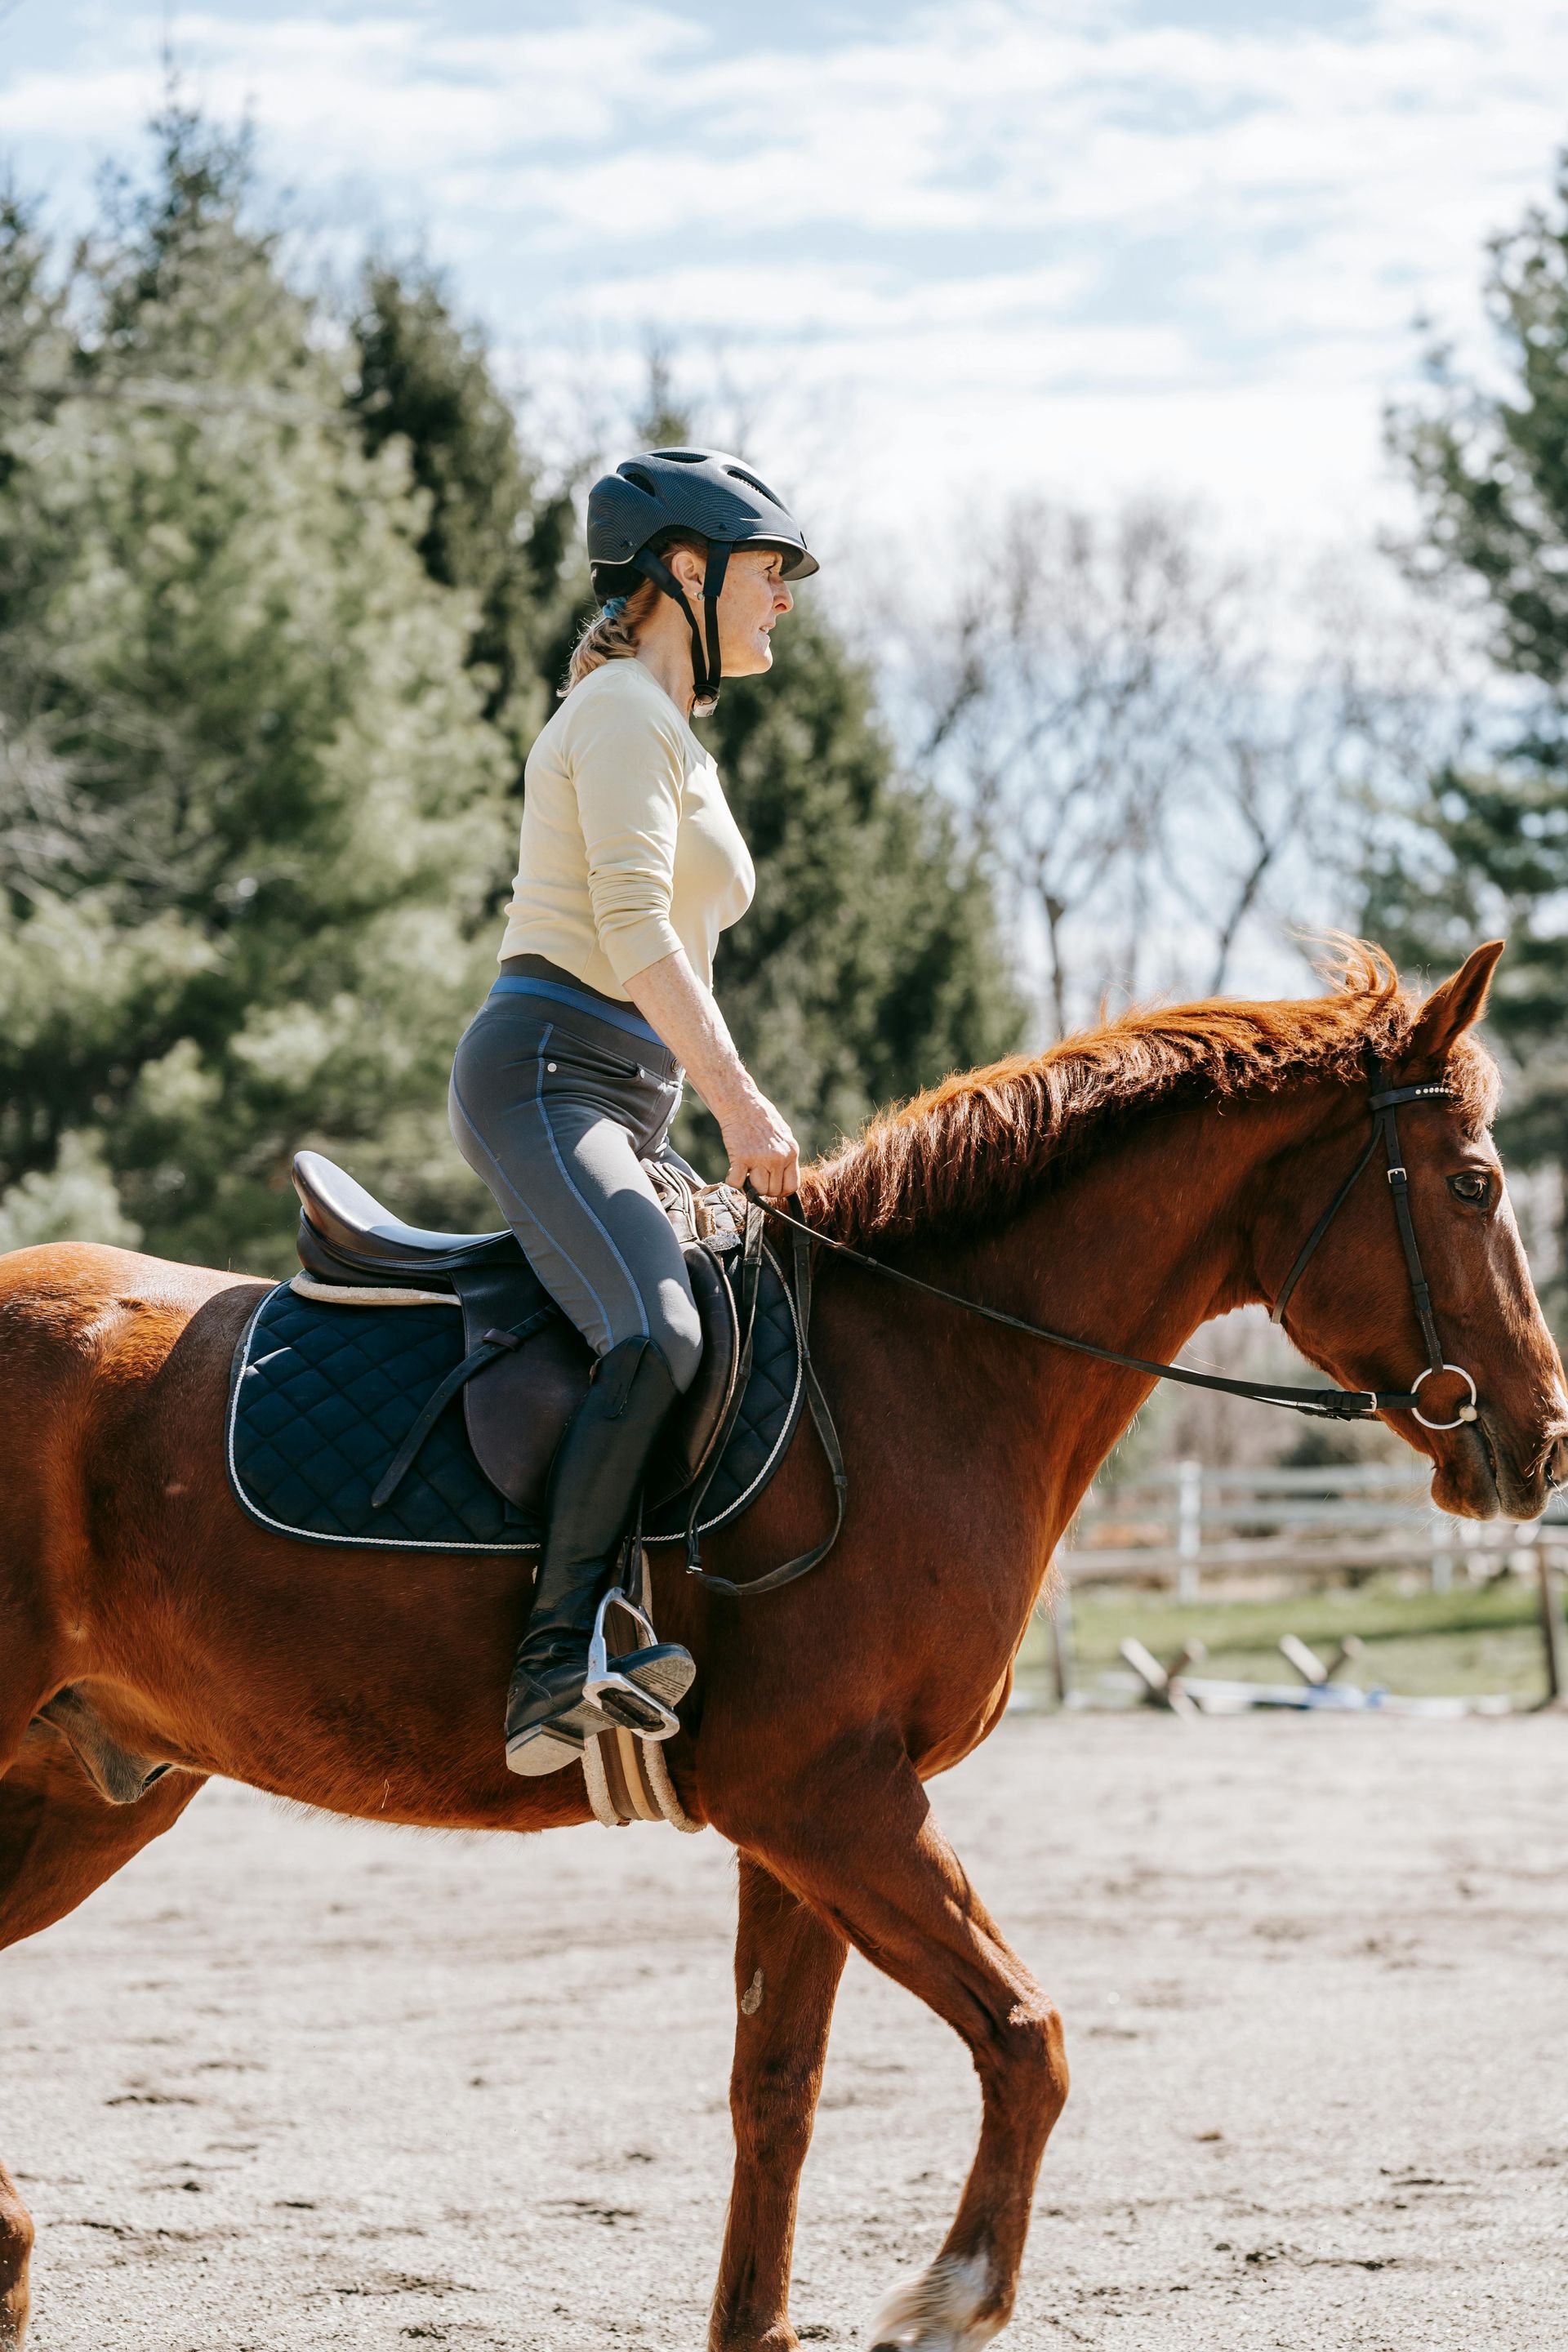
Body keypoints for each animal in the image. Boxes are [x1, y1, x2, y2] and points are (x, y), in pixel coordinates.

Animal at [0, 940, 1562, 2352]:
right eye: (1476, 1186)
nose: (1541, 1441)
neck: (923, 1367)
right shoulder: (828, 1797)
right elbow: (1028, 2036)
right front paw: (955, 2297)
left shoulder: (799, 1826)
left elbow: (780, 2092)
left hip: (91, 1792)